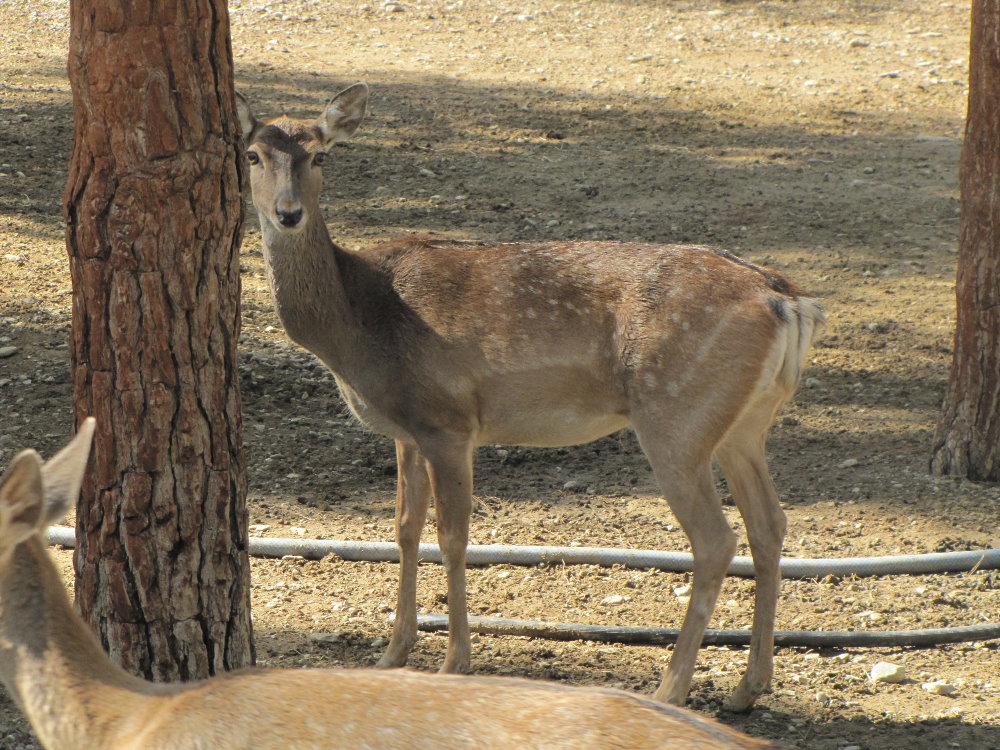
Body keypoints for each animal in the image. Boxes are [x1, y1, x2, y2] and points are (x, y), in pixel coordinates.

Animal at [235, 83, 825, 713]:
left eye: (321, 155)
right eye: (253, 155)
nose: (288, 213)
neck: (358, 325)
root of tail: (787, 300)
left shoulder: (448, 418)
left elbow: (452, 537)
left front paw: (454, 663)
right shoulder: (407, 430)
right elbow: (403, 528)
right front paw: (392, 654)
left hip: (676, 414)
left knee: (716, 540)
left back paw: (670, 689)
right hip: (744, 422)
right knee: (770, 524)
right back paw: (747, 687)